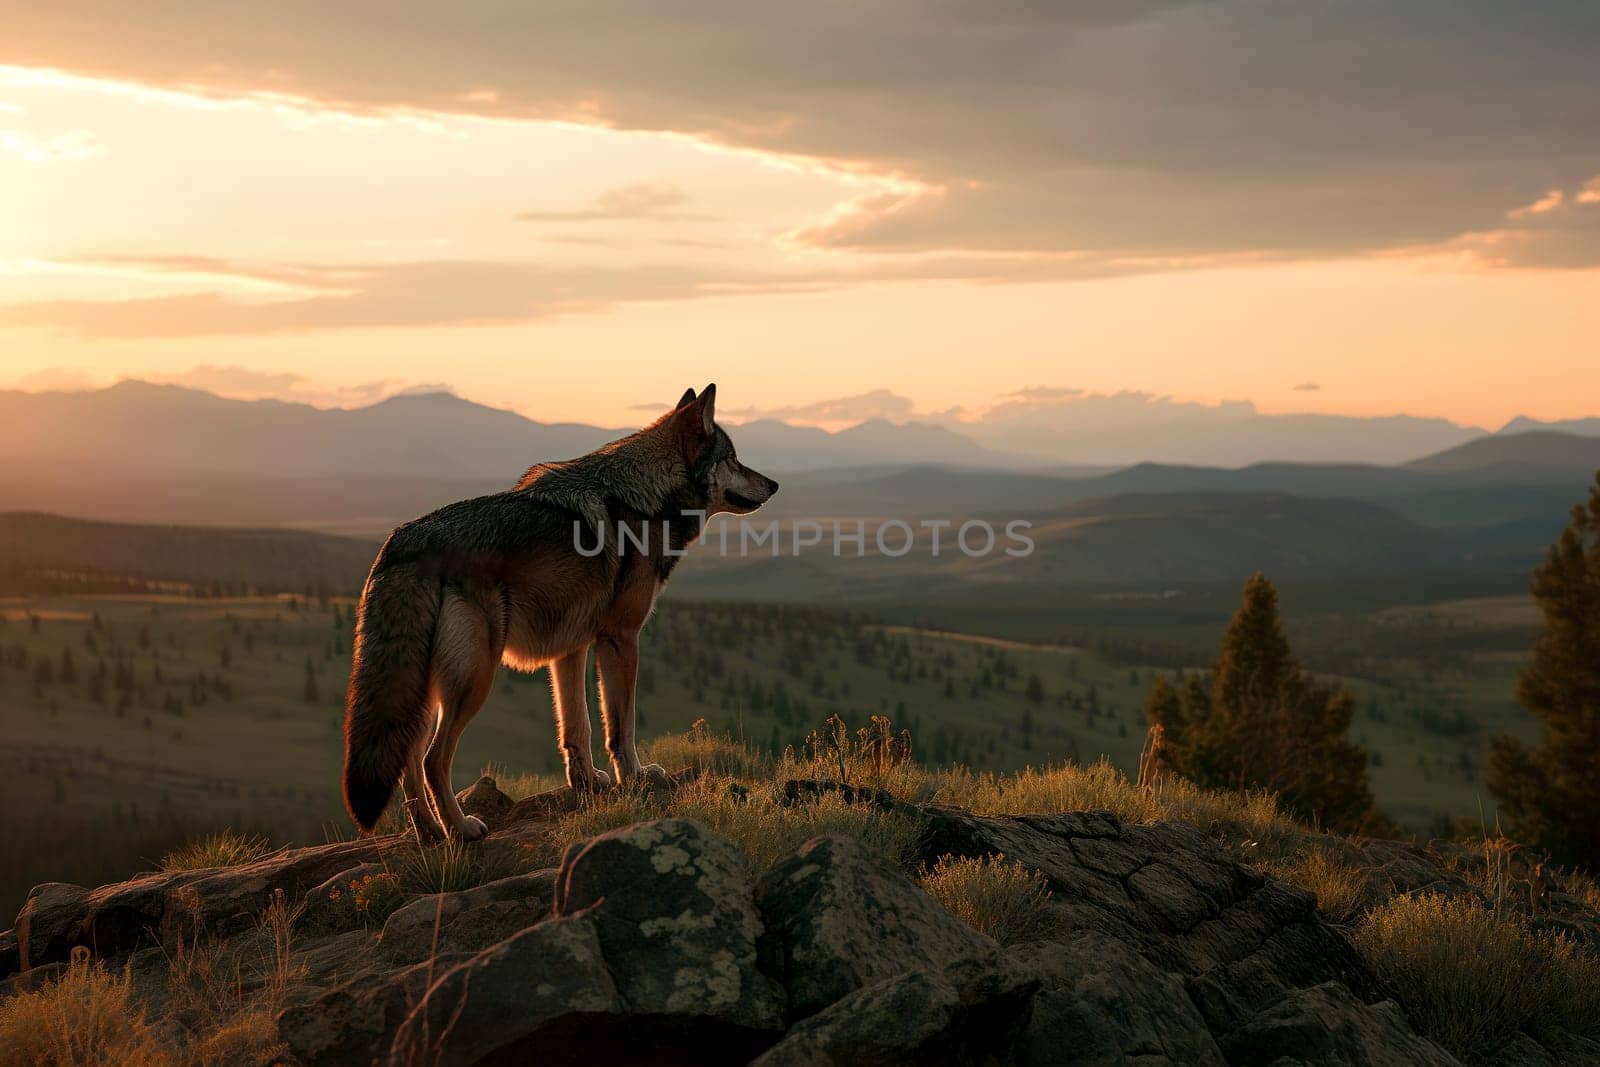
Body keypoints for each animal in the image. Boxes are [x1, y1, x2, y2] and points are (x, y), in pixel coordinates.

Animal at [340, 385, 777, 844]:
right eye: (732, 458)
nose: (775, 484)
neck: (648, 498)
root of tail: (400, 543)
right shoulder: (622, 638)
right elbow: (621, 726)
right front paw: (635, 778)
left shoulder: (571, 648)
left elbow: (576, 727)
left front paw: (587, 783)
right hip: (474, 678)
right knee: (431, 760)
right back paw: (461, 828)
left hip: (425, 689)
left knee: (409, 758)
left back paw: (429, 832)